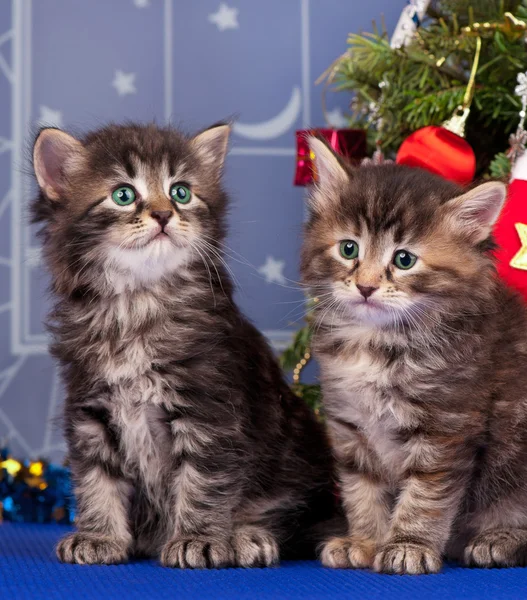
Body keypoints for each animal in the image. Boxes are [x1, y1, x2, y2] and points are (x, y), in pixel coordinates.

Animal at [32, 123, 334, 568]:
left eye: (181, 192)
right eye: (123, 194)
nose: (163, 214)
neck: (137, 304)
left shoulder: (209, 411)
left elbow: (202, 482)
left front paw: (199, 539)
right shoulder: (89, 410)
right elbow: (97, 480)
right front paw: (99, 535)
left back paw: (247, 536)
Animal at [300, 137, 527, 576]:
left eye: (404, 259)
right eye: (349, 248)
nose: (366, 286)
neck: (378, 344)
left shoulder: (446, 428)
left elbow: (424, 497)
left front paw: (409, 545)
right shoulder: (350, 425)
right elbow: (361, 490)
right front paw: (365, 542)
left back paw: (499, 540)